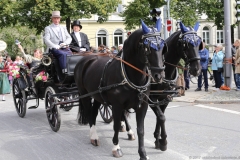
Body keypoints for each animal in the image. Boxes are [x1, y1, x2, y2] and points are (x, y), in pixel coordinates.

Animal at [74, 19, 166, 160]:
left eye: (162, 47)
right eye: (147, 48)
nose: (159, 76)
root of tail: (85, 58)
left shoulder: (142, 106)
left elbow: (141, 130)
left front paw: (143, 153)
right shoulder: (117, 105)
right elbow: (116, 125)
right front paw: (116, 147)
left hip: (98, 96)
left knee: (94, 112)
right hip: (85, 95)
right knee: (90, 114)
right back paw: (94, 136)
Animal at [118, 21, 202, 151]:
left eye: (199, 43)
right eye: (186, 44)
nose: (196, 70)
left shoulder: (164, 98)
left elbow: (160, 116)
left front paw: (158, 139)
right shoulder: (151, 99)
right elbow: (161, 117)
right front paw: (163, 141)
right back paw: (128, 130)